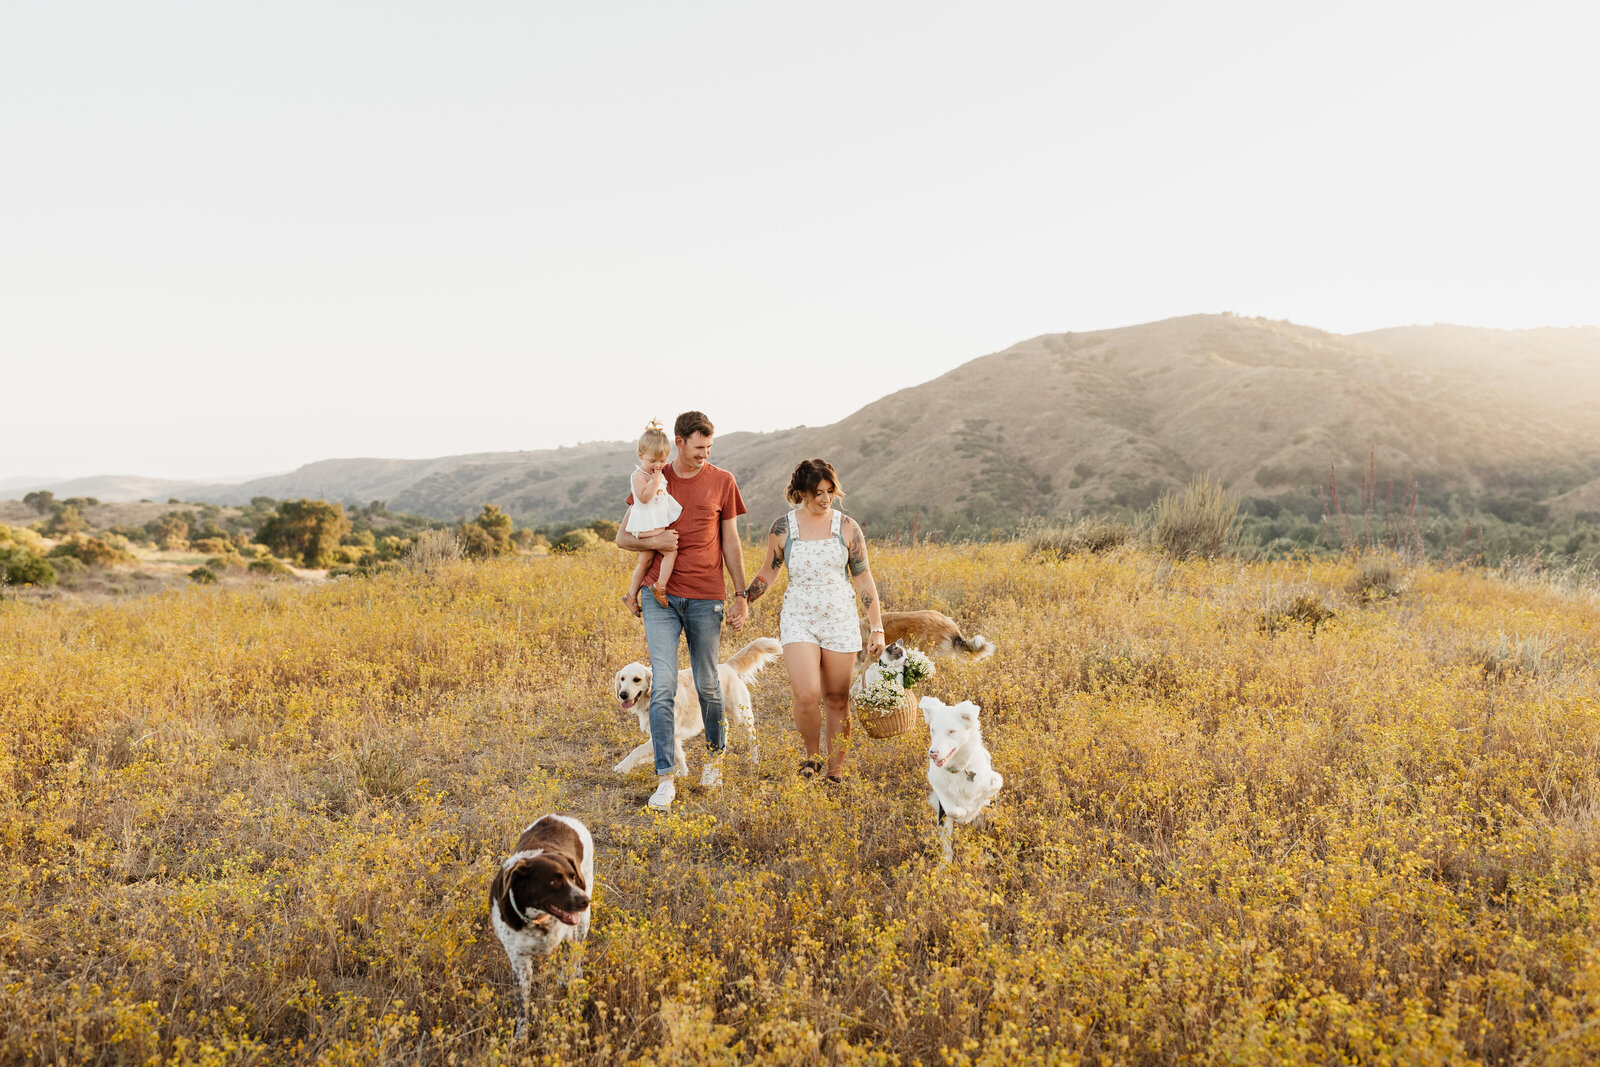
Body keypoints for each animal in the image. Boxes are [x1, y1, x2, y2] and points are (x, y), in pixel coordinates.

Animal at [486, 819, 595, 1036]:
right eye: (554, 881)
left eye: (572, 876)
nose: (585, 901)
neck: (538, 920)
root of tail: (561, 816)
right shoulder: (519, 962)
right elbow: (523, 1005)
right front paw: (521, 1036)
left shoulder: (569, 937)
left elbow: (570, 966)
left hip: (582, 923)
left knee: (577, 955)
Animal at [611, 633, 780, 777]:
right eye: (622, 679)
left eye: (637, 679)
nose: (623, 694)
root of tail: (728, 665)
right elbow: (677, 756)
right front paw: (683, 774)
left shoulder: (668, 732)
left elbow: (638, 750)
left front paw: (621, 766)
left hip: (741, 714)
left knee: (752, 735)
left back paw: (755, 760)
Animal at [921, 697, 1004, 863]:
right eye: (933, 730)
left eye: (951, 731)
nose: (933, 753)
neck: (957, 771)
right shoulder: (937, 786)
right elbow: (953, 809)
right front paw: (963, 815)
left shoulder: (994, 782)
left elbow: (981, 798)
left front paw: (971, 812)